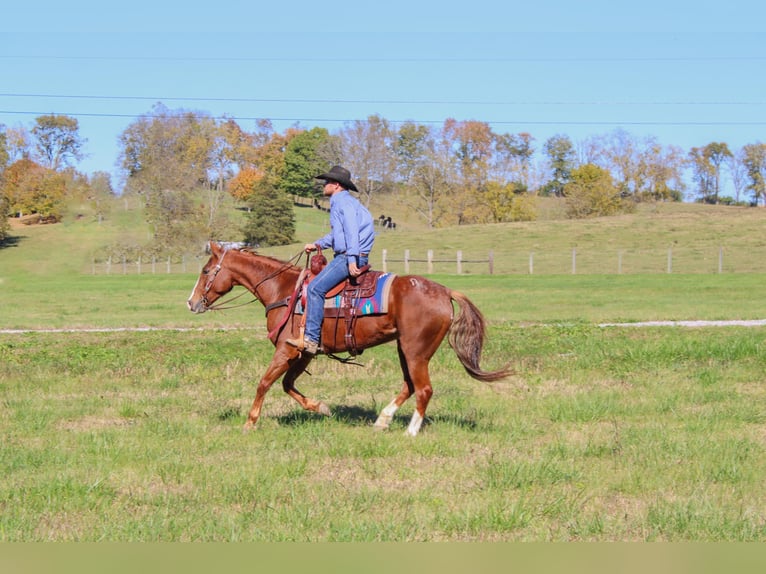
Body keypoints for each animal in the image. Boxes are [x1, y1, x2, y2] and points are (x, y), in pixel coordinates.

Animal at [187, 242, 512, 436]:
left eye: (206, 270)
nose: (191, 302)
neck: (283, 289)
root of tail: (445, 292)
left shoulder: (285, 350)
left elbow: (265, 383)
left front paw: (250, 422)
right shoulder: (304, 352)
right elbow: (287, 384)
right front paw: (321, 407)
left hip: (415, 351)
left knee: (424, 389)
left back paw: (410, 431)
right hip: (405, 349)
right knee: (409, 385)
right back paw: (382, 420)